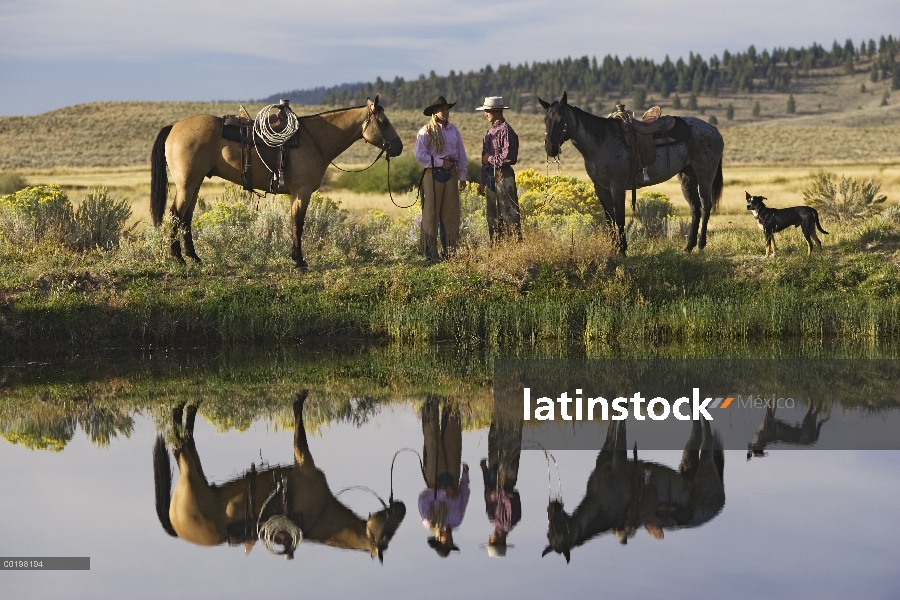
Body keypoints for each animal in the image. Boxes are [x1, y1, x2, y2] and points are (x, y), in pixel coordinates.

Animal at [149, 98, 402, 270]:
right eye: (384, 122)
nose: (398, 147)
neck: (314, 140)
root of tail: (174, 126)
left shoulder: (297, 193)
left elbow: (293, 222)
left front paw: (295, 258)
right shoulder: (302, 192)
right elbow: (298, 223)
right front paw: (299, 261)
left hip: (196, 183)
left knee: (186, 217)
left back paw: (193, 256)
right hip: (187, 184)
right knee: (175, 214)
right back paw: (178, 257)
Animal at [155, 392, 408, 560]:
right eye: (387, 534)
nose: (403, 507)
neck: (322, 512)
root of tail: (178, 529)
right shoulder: (304, 461)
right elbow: (298, 422)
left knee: (185, 429)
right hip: (190, 476)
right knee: (181, 438)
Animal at [540, 92, 724, 254]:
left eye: (561, 120)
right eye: (545, 120)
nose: (550, 148)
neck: (601, 142)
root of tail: (714, 129)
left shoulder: (617, 186)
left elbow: (620, 217)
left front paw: (622, 249)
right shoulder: (601, 188)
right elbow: (609, 218)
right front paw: (613, 248)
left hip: (705, 175)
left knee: (705, 206)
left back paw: (701, 244)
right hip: (687, 177)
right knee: (695, 208)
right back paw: (688, 247)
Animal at [540, 418, 724, 564]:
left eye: (560, 533)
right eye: (549, 534)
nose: (551, 506)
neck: (601, 507)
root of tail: (720, 502)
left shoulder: (619, 460)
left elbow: (619, 427)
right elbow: (613, 426)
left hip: (706, 460)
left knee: (706, 431)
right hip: (689, 462)